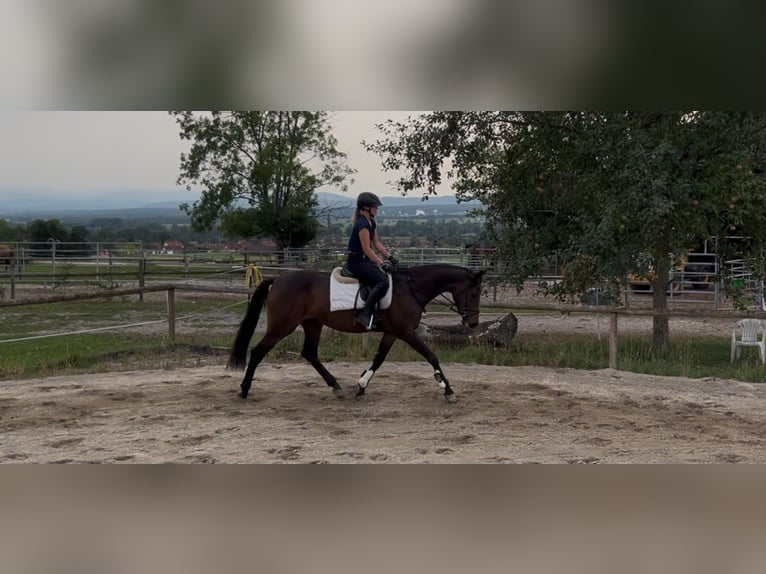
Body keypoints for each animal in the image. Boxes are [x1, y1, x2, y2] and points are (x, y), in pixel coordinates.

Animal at [228, 263, 485, 402]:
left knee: (310, 353)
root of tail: (278, 279)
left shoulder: (393, 332)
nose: (473, 323)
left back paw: (336, 386)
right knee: (258, 351)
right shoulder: (405, 331)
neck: (410, 289)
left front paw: (361, 386)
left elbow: (379, 359)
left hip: (312, 323)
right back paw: (244, 389)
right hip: (282, 326)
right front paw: (447, 389)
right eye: (473, 293)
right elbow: (431, 356)